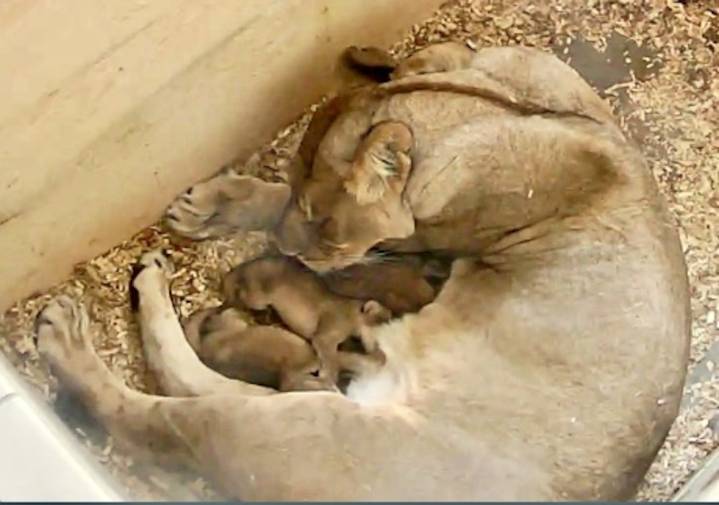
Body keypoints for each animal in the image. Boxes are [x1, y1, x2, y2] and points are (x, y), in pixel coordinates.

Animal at [36, 42, 690, 500]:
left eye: (322, 221)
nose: (292, 254)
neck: (494, 109)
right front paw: (214, 206)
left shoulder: (422, 235)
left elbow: (294, 219)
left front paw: (229, 213)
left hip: (305, 435)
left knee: (158, 415)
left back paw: (71, 331)